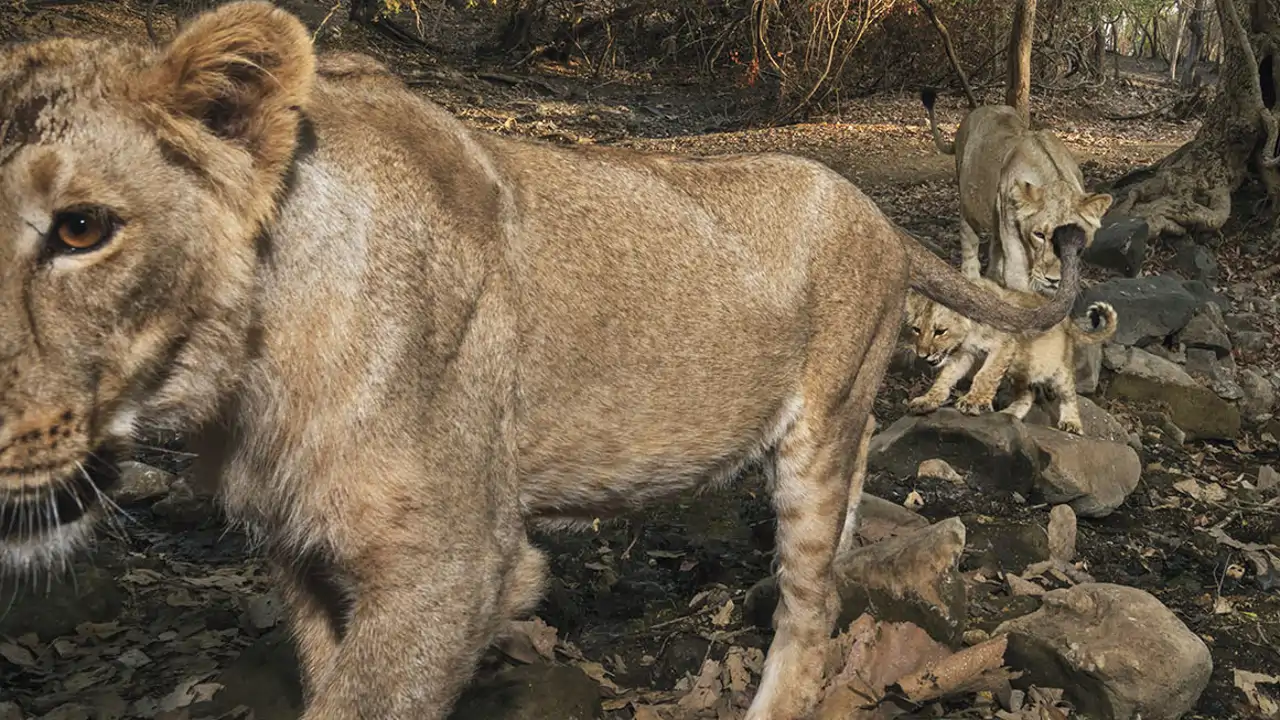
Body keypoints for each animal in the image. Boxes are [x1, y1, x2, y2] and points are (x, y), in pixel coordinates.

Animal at [0, 5, 1086, 719]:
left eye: (81, 229)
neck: (241, 384)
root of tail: (875, 212)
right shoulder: (303, 554)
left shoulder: (452, 563)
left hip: (818, 431)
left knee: (811, 611)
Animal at [903, 279, 1117, 434]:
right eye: (916, 329)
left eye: (940, 331)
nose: (922, 355)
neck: (968, 334)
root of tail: (1067, 320)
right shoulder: (965, 353)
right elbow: (946, 377)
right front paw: (927, 400)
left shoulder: (1005, 345)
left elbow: (985, 375)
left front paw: (972, 402)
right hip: (1020, 368)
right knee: (1027, 395)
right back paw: (1008, 415)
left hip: (1058, 369)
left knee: (1069, 394)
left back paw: (1072, 423)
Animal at [921, 89, 1113, 295]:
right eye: (1039, 235)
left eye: (1077, 239)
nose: (1053, 280)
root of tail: (973, 113)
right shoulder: (1014, 245)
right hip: (969, 206)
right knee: (970, 244)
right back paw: (972, 279)